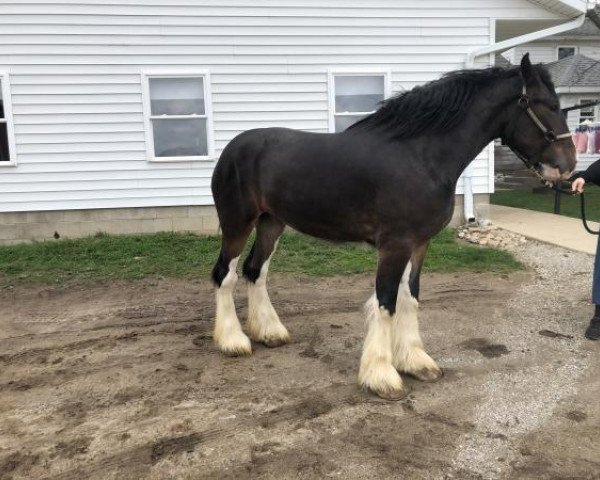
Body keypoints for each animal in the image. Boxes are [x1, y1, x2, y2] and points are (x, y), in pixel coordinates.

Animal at [210, 54, 576, 402]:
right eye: (548, 105)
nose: (568, 165)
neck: (421, 157)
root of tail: (232, 149)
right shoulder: (395, 244)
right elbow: (386, 301)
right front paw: (382, 376)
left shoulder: (419, 243)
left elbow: (409, 297)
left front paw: (416, 361)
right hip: (237, 224)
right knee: (225, 274)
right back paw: (233, 341)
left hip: (272, 223)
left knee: (255, 270)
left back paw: (269, 332)